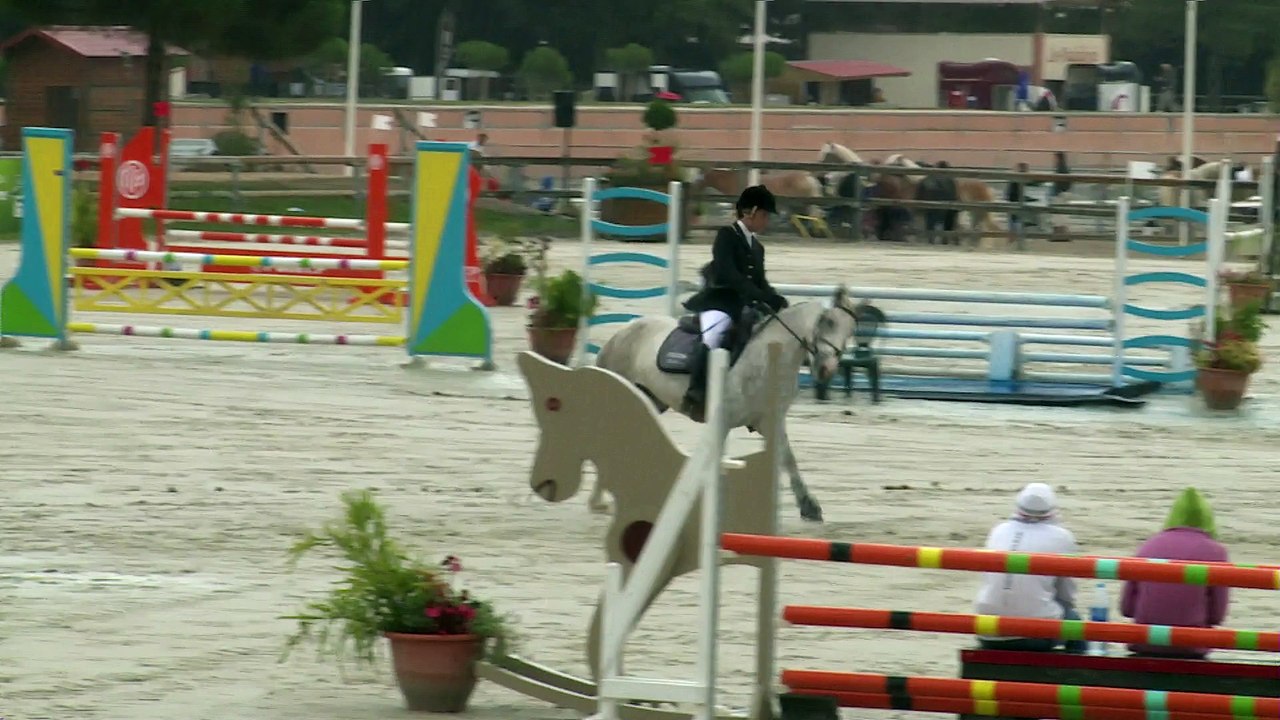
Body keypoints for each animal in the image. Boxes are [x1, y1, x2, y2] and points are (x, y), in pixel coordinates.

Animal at [594, 286, 865, 523]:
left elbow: (788, 458)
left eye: (851, 330)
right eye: (828, 321)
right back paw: (599, 500)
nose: (826, 370)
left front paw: (809, 507)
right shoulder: (724, 419)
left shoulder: (769, 419)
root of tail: (622, 331)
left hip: (652, 400)